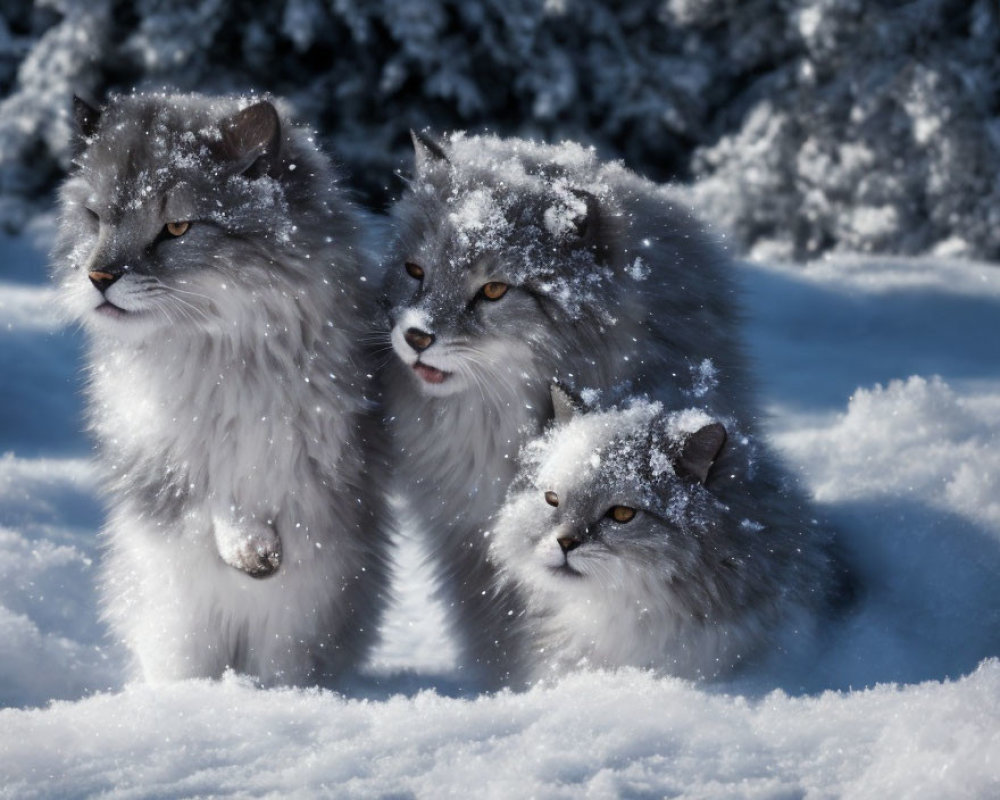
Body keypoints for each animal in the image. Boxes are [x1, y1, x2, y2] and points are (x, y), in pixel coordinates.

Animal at [52, 90, 390, 684]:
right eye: (95, 218)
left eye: (177, 228)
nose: (98, 278)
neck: (221, 349)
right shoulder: (165, 458)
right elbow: (215, 499)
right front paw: (249, 548)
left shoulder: (322, 454)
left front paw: (257, 553)